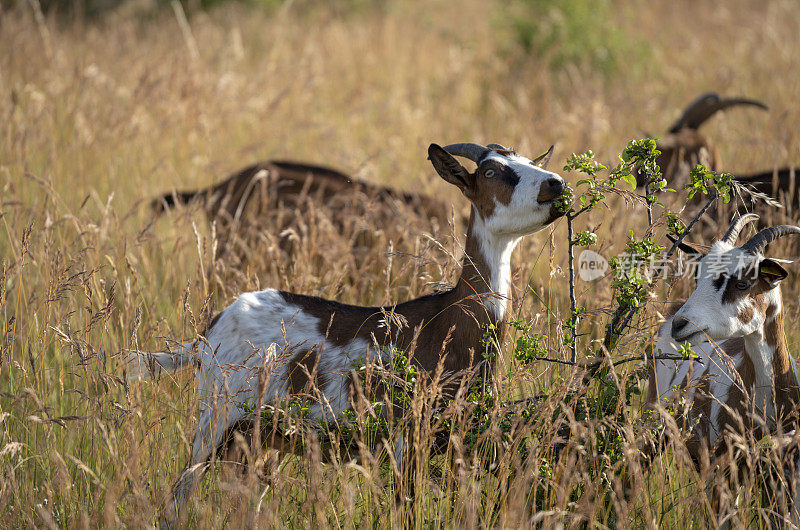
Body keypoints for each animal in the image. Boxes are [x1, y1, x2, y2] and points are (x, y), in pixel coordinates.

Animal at [128, 139, 564, 520]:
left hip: (258, 438)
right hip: (215, 419)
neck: (449, 325)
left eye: (530, 160)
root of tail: (206, 336)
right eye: (491, 171)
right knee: (177, 498)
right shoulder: (405, 439)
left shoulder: (463, 441)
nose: (556, 184)